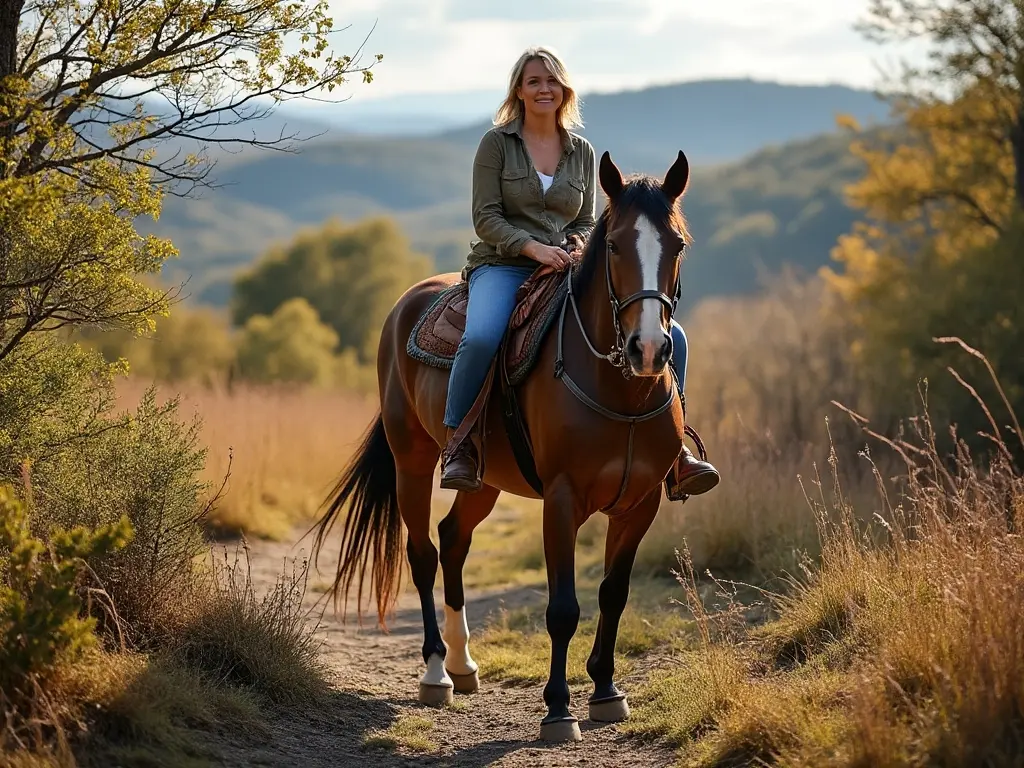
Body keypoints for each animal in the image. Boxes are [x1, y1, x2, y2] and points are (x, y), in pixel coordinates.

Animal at [309, 147, 696, 741]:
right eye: (613, 245)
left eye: (677, 244)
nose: (648, 348)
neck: (620, 391)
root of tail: (406, 304)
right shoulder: (561, 500)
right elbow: (563, 609)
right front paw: (558, 709)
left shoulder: (640, 503)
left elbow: (613, 594)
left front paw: (607, 691)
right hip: (411, 463)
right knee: (423, 553)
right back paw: (437, 673)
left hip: (484, 479)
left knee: (453, 539)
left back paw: (465, 664)